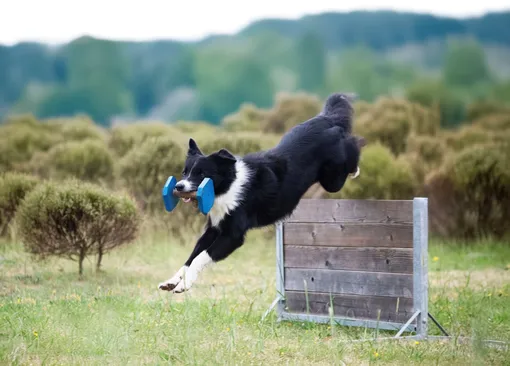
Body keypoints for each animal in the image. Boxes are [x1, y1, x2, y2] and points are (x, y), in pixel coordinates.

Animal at [158, 93, 362, 294]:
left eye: (201, 174)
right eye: (185, 172)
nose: (179, 187)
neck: (227, 187)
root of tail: (326, 119)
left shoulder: (232, 235)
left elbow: (201, 257)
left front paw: (183, 285)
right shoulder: (214, 227)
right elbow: (191, 257)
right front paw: (172, 281)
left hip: (333, 179)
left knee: (354, 145)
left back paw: (357, 161)